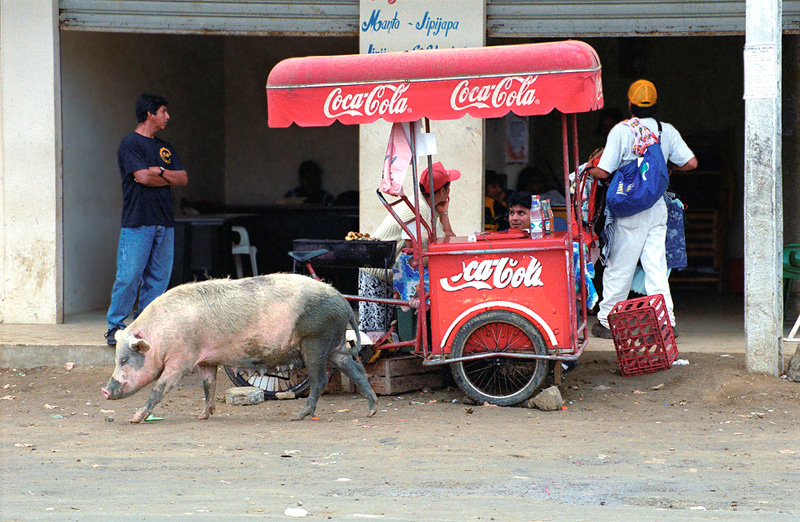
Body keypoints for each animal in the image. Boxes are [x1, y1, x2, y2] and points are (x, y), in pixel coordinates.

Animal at [101, 272, 376, 422]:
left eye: (124, 359)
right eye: (117, 359)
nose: (105, 390)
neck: (161, 335)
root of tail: (342, 301)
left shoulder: (181, 360)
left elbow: (159, 389)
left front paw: (135, 418)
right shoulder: (206, 360)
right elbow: (208, 385)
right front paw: (203, 415)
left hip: (315, 341)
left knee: (320, 381)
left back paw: (298, 415)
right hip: (335, 345)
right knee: (356, 370)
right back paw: (371, 410)